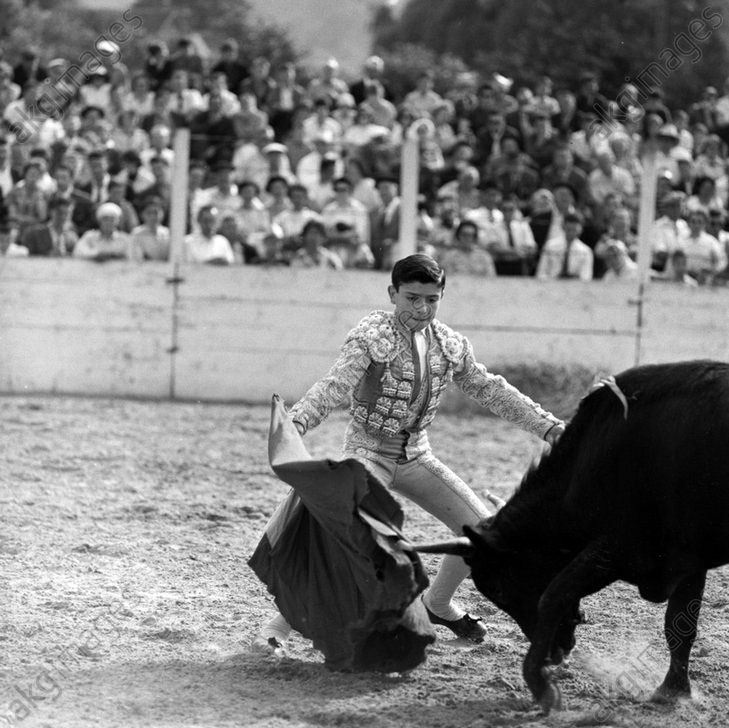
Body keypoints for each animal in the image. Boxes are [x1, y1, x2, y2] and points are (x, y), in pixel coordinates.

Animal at [416, 362, 728, 712]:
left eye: (498, 588)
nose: (555, 653)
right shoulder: (685, 560)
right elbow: (680, 626)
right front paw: (673, 689)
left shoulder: (623, 548)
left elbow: (554, 595)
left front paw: (540, 686)